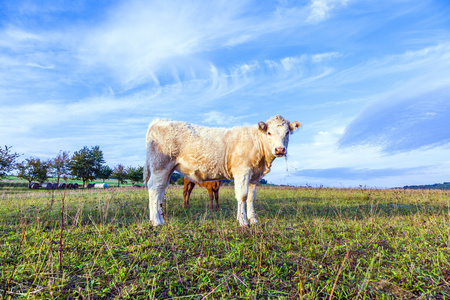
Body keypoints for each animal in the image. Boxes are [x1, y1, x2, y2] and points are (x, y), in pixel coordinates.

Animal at [143, 116, 298, 226]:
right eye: (269, 133)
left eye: (287, 133)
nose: (280, 149)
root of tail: (159, 121)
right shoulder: (242, 171)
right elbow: (242, 196)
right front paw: (243, 222)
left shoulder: (254, 177)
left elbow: (251, 198)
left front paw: (253, 220)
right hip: (160, 166)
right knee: (154, 189)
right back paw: (155, 221)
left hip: (167, 170)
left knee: (160, 191)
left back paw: (160, 219)